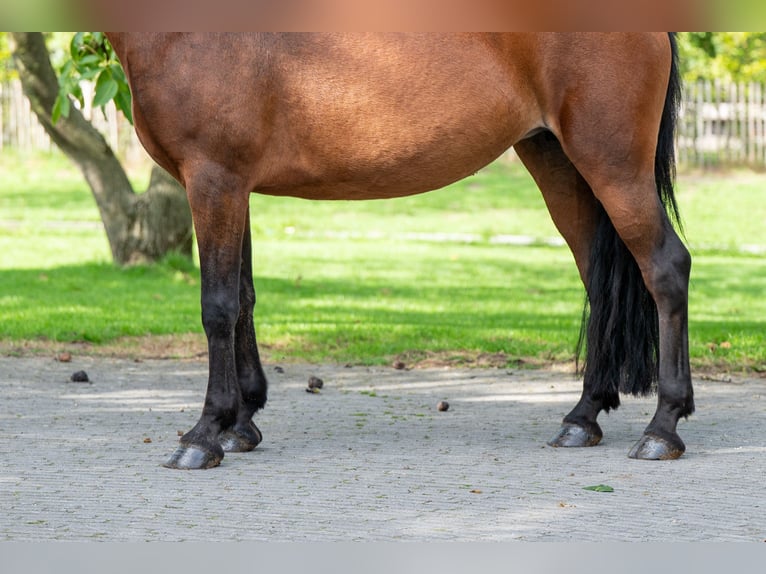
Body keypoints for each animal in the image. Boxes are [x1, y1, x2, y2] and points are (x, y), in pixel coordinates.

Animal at [105, 33, 692, 470]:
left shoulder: (213, 180)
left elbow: (218, 306)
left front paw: (204, 433)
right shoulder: (235, 186)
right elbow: (244, 298)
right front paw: (242, 424)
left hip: (613, 167)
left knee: (667, 268)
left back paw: (663, 427)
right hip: (557, 163)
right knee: (599, 283)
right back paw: (582, 418)